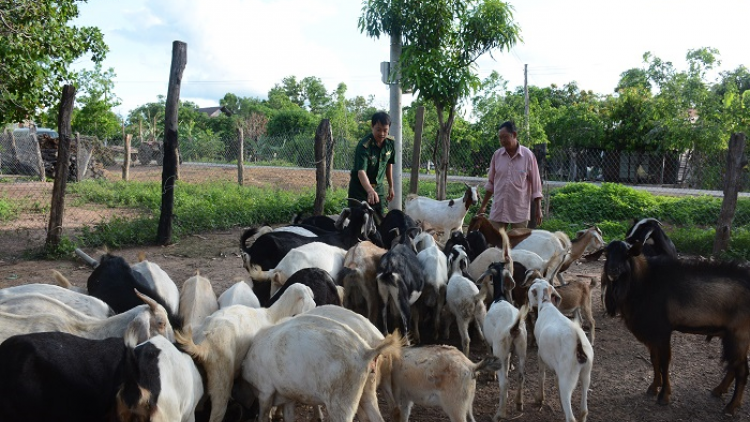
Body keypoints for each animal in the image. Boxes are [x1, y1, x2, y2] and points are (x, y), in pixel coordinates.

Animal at [244, 312, 402, 422]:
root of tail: (366, 351)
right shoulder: (288, 397)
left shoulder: (265, 390)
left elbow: (264, 416)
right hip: (367, 388)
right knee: (377, 417)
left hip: (341, 399)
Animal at [604, 241, 750, 416]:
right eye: (606, 254)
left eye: (627, 254)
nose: (612, 270)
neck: (645, 282)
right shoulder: (653, 334)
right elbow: (654, 359)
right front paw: (653, 387)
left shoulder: (663, 330)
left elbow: (664, 362)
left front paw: (664, 396)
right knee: (735, 365)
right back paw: (718, 391)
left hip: (739, 334)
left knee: (742, 370)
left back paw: (730, 407)